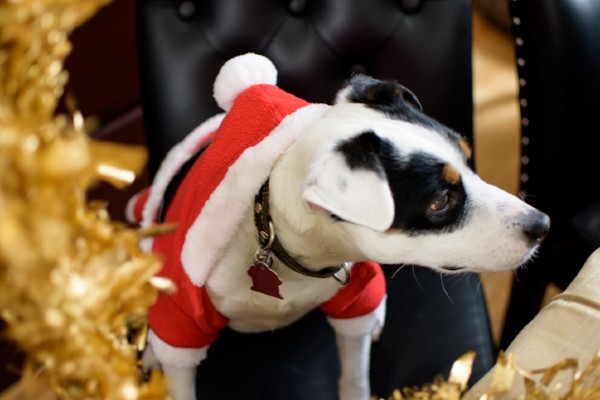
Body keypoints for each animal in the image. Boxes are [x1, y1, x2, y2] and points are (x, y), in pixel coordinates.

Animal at [129, 54, 552, 400]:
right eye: (439, 201)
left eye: (468, 160)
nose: (543, 224)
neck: (289, 252)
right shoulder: (183, 315)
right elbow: (179, 368)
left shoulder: (353, 300)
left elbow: (354, 374)